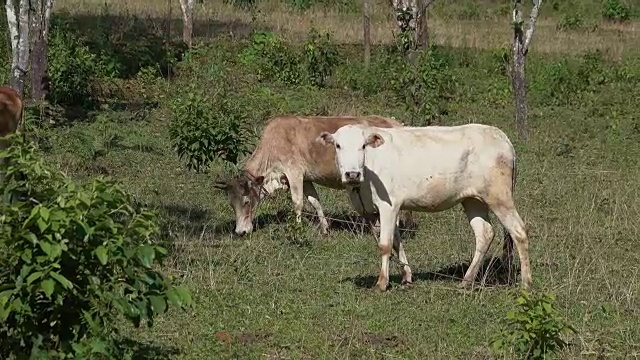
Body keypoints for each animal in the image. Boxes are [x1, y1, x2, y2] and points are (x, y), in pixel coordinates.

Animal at [214, 115, 416, 236]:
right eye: (231, 204)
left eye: (246, 201)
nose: (240, 231)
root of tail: (395, 123)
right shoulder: (306, 178)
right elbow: (314, 201)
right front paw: (325, 228)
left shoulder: (294, 172)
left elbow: (297, 203)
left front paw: (297, 228)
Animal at [318, 124, 532, 292]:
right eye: (338, 145)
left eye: (363, 146)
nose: (352, 174)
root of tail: (501, 136)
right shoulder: (369, 210)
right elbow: (396, 242)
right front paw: (406, 277)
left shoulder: (389, 205)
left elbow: (385, 244)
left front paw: (382, 283)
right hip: (473, 199)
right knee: (485, 233)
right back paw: (466, 281)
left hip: (499, 196)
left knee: (518, 231)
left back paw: (526, 283)